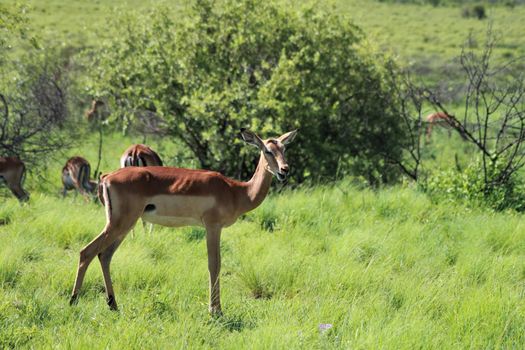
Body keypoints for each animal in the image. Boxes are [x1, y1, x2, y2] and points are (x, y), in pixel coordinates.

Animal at [70, 129, 296, 314]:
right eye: (267, 150)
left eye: (284, 148)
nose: (284, 170)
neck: (236, 191)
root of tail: (107, 177)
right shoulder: (213, 227)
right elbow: (214, 264)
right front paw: (215, 311)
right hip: (120, 223)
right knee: (87, 252)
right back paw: (73, 301)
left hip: (123, 225)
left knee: (104, 255)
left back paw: (113, 305)